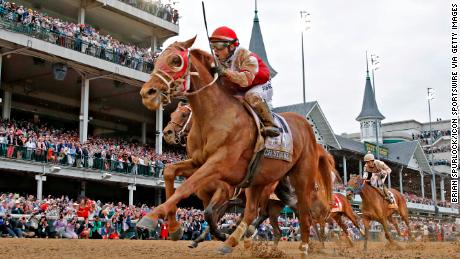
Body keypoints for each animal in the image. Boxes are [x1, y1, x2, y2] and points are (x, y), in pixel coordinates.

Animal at [137, 37, 330, 256]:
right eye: (156, 59)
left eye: (175, 60)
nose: (147, 93)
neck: (215, 116)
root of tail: (306, 126)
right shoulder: (199, 163)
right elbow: (170, 172)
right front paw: (175, 228)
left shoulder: (220, 169)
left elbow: (189, 190)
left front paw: (150, 217)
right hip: (258, 181)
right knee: (253, 212)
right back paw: (233, 241)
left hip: (301, 177)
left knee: (303, 209)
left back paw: (305, 245)